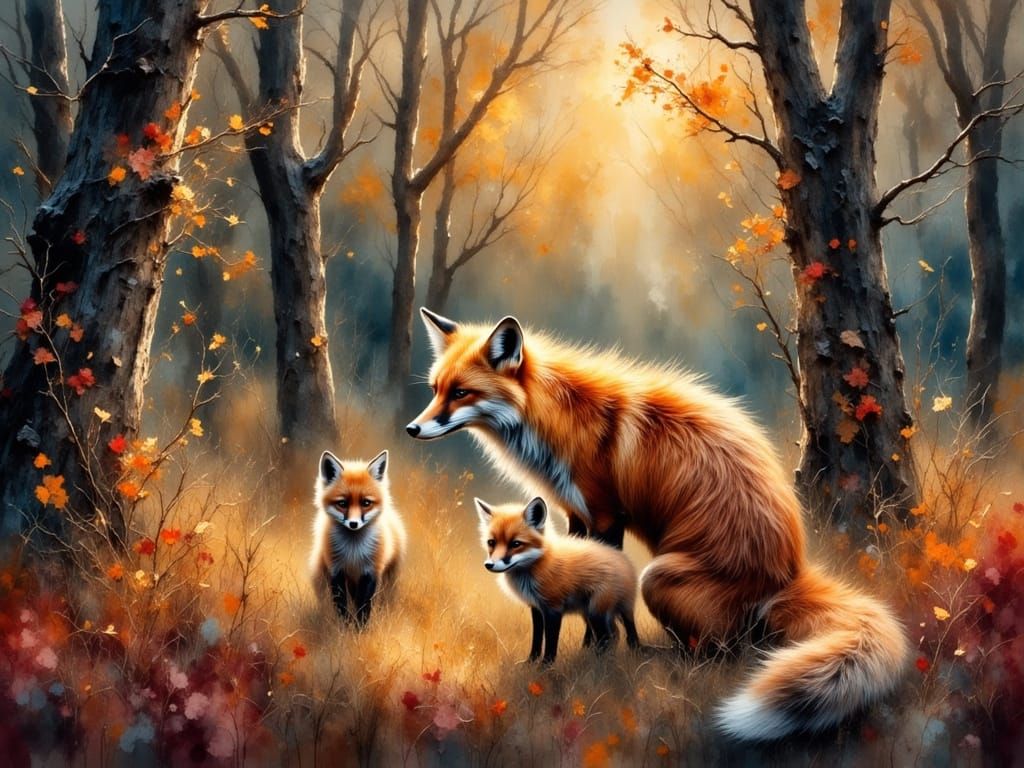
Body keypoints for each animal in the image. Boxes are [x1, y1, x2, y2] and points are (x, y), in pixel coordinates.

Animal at [310, 450, 406, 627]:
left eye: (366, 503)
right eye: (342, 503)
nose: (353, 524)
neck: (353, 552)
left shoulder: (371, 572)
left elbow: (363, 607)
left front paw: (360, 630)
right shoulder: (336, 571)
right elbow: (342, 607)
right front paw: (344, 629)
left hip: (389, 577)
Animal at [475, 495, 640, 664]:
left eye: (516, 544)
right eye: (491, 542)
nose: (489, 565)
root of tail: (623, 558)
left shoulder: (553, 608)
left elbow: (550, 642)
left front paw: (546, 665)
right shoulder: (536, 607)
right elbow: (536, 639)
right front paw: (530, 662)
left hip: (598, 612)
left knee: (613, 636)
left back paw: (600, 662)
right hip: (593, 613)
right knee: (617, 635)